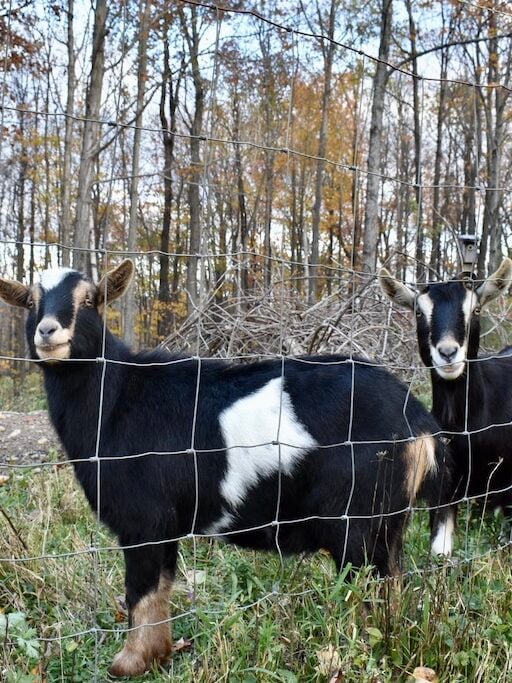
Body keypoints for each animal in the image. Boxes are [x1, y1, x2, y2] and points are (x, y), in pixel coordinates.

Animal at [0, 260, 451, 678]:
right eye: (32, 302)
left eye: (90, 300)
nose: (49, 332)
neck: (115, 399)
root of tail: (417, 421)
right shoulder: (167, 525)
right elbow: (162, 589)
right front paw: (159, 655)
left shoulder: (144, 522)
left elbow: (140, 593)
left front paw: (127, 664)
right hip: (388, 523)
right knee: (393, 583)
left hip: (356, 522)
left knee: (373, 591)